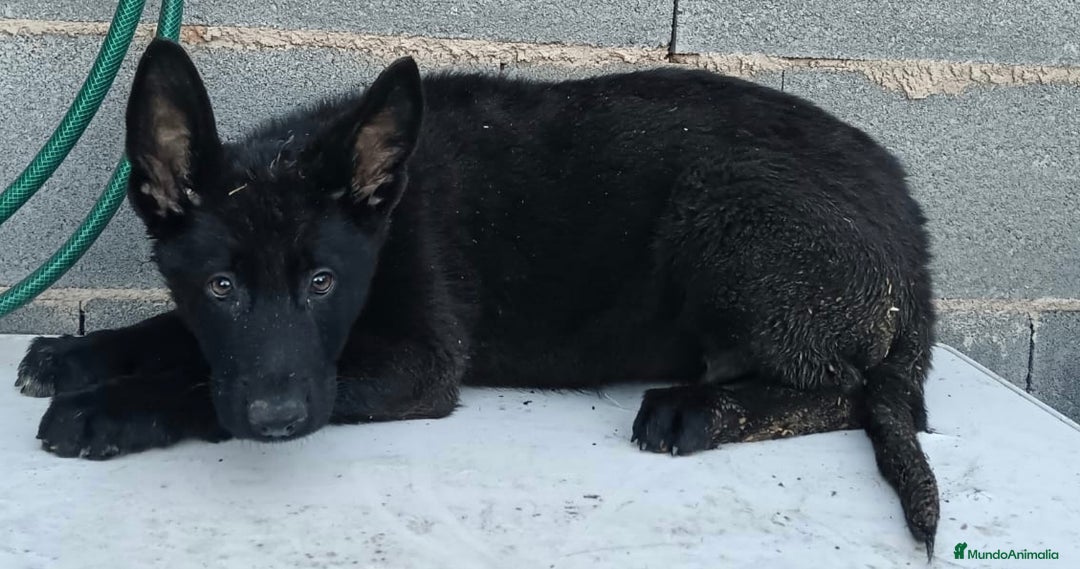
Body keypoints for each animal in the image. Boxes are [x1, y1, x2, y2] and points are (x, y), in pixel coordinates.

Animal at [15, 38, 940, 557]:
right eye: (221, 285)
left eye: (322, 281)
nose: (277, 420)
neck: (384, 210)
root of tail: (914, 231)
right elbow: (186, 339)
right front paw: (74, 354)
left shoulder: (418, 362)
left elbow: (201, 382)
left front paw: (108, 406)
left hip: (732, 215)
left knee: (853, 392)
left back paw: (699, 408)